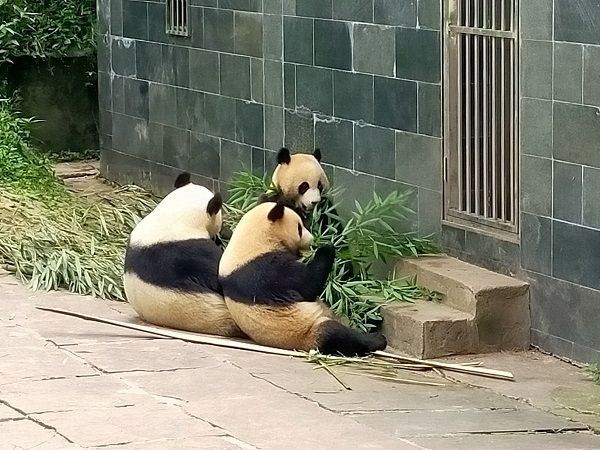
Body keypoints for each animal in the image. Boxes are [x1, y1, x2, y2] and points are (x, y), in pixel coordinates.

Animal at [218, 201, 386, 356]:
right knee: (335, 334)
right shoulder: (264, 270)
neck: (252, 239)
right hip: (307, 332)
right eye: (299, 228)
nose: (312, 239)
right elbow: (308, 285)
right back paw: (377, 339)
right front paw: (326, 246)